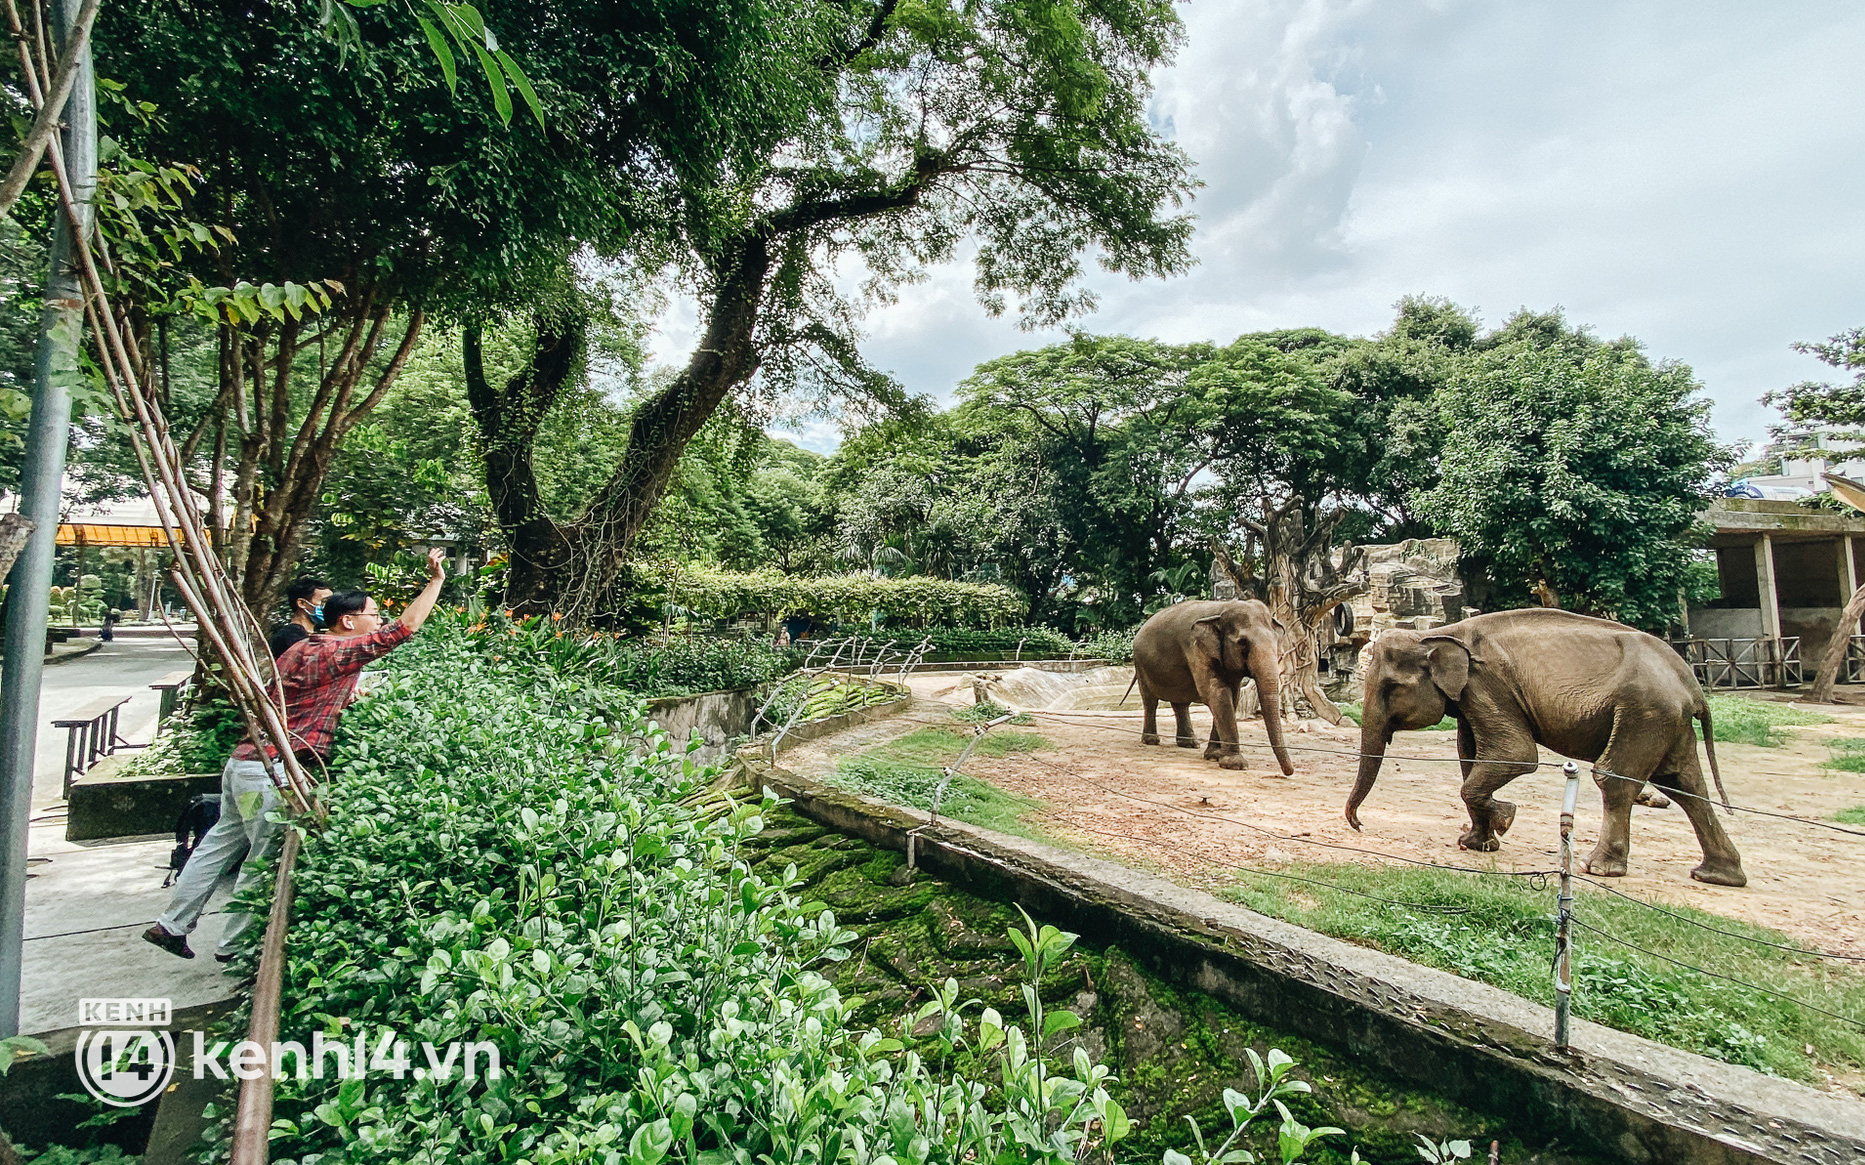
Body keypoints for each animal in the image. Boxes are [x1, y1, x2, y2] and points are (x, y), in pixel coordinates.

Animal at [1119, 600, 1298, 771]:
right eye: (1242, 642)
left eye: (1276, 641)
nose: (1289, 772)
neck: (1222, 608)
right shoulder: (1196, 649)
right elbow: (1217, 693)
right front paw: (1235, 765)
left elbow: (1233, 697)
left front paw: (1214, 756)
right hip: (1140, 666)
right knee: (1150, 701)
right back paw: (1151, 741)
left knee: (1180, 703)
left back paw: (1190, 744)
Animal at [1342, 607, 1745, 879]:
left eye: (1391, 688)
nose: (1359, 825)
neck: (1443, 633)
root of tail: (1691, 683)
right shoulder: (1474, 694)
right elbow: (1469, 756)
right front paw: (1476, 843)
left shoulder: (1488, 684)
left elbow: (1516, 754)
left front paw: (1505, 818)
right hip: (1666, 719)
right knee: (1682, 783)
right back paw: (1718, 875)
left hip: (1644, 712)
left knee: (1615, 777)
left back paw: (1599, 868)